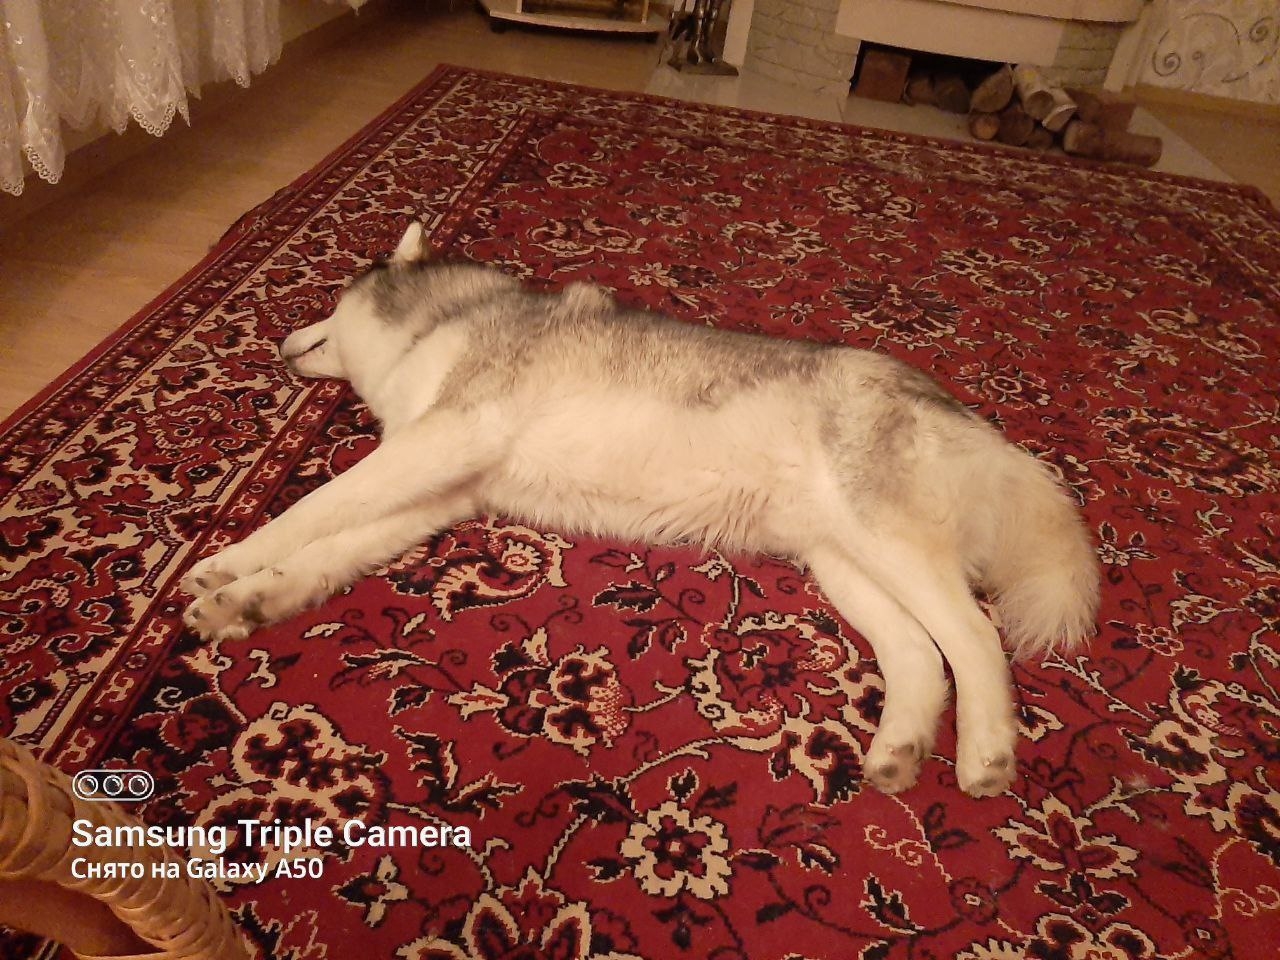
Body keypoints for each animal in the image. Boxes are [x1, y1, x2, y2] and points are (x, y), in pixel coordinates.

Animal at [182, 222, 1100, 797]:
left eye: (332, 297)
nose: (279, 341)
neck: (442, 319)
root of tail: (968, 416)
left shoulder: (445, 437)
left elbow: (314, 507)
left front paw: (223, 562)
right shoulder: (439, 485)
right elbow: (325, 546)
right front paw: (246, 599)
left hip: (886, 538)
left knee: (975, 638)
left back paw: (986, 753)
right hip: (845, 560)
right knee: (920, 653)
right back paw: (899, 749)